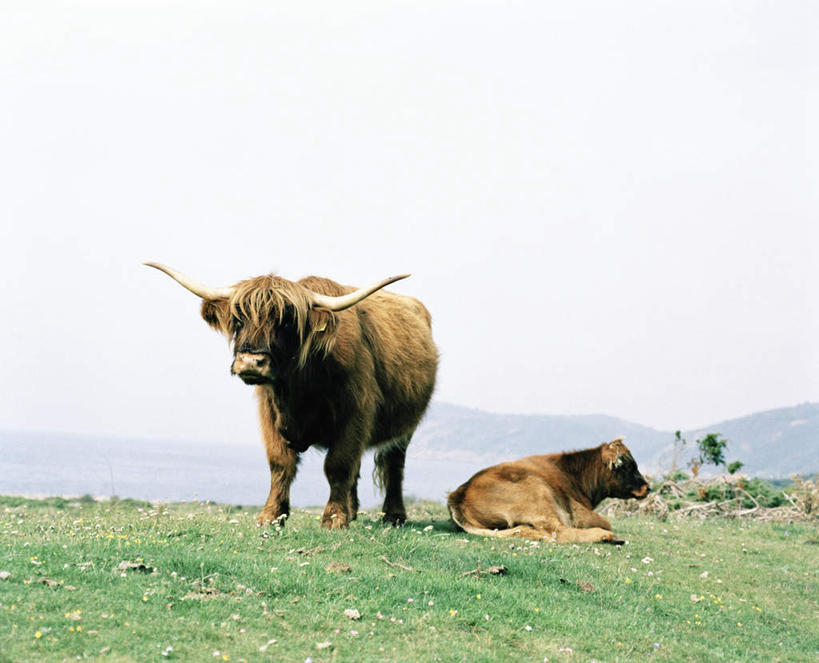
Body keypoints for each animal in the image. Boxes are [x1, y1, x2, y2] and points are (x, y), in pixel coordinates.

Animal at [446, 438, 652, 544]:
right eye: (629, 466)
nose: (648, 487)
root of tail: (458, 494)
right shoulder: (576, 512)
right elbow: (606, 522)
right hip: (538, 494)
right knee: (558, 532)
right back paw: (607, 537)